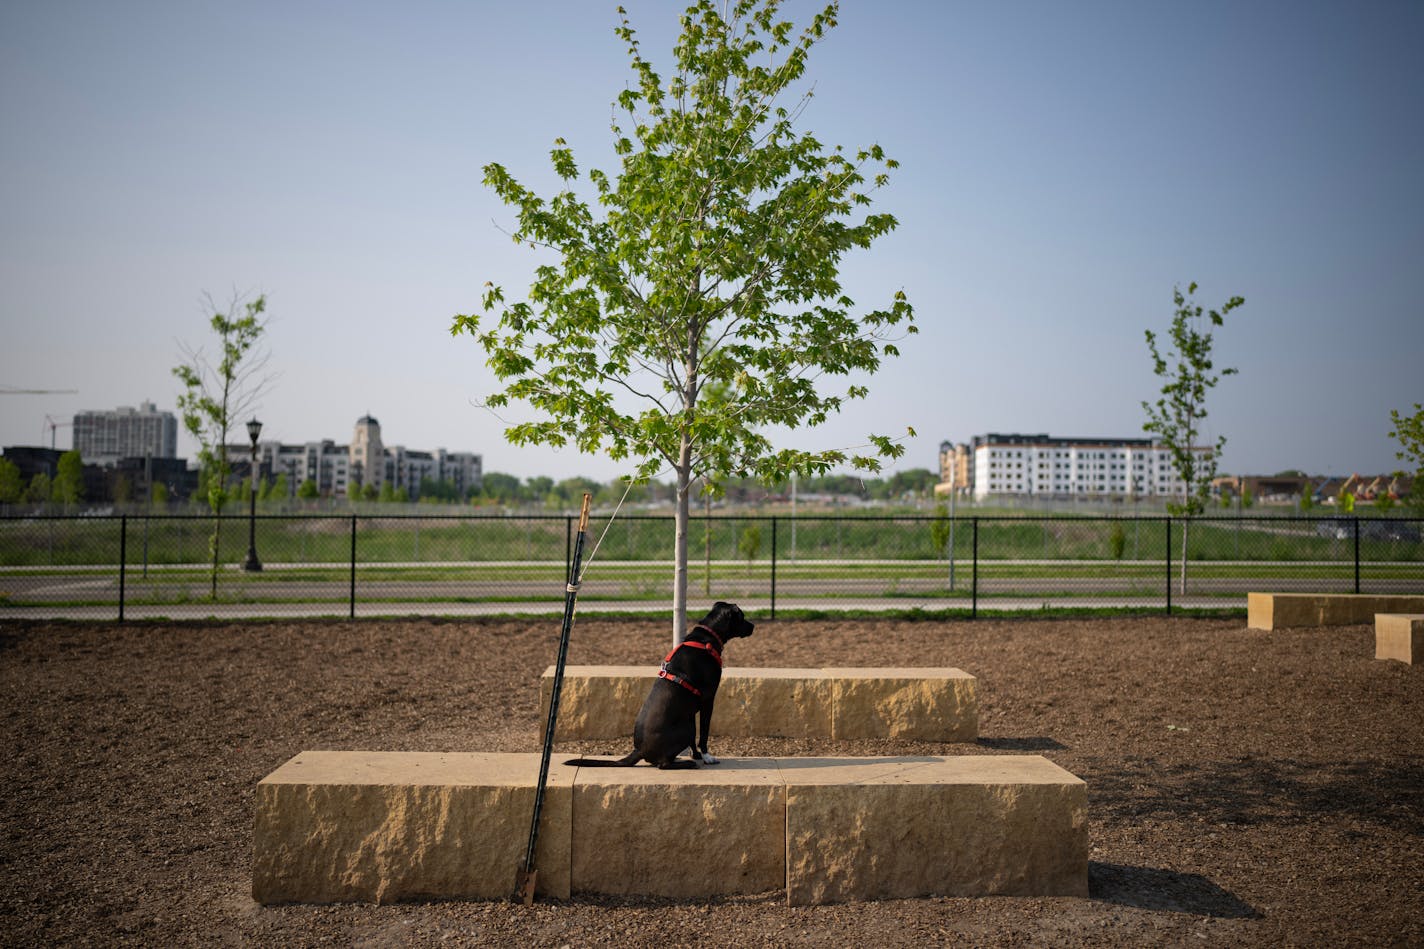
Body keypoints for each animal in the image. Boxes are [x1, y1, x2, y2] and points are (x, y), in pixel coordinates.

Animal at [563, 601, 757, 763]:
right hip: (685, 729)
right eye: (742, 616)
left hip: (686, 724)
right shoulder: (708, 700)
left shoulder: (690, 710)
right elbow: (703, 733)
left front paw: (696, 755)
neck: (705, 638)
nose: (754, 626)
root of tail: (639, 750)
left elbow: (695, 738)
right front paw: (707, 757)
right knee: (663, 764)